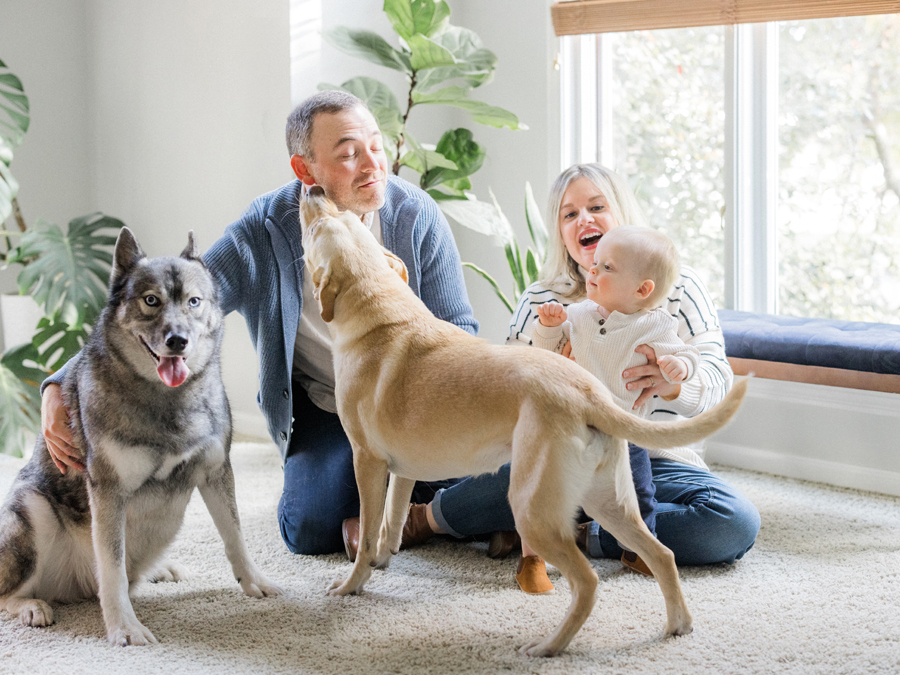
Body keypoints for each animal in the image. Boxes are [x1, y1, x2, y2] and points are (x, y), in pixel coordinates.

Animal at [0, 230, 280, 648]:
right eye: (151, 300)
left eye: (194, 301)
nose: (178, 341)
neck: (166, 399)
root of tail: (73, 587)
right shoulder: (109, 493)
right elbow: (112, 570)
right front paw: (124, 627)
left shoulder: (216, 472)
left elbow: (235, 536)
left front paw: (254, 581)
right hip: (34, 512)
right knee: (10, 593)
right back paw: (32, 606)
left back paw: (160, 569)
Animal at [298, 187, 748, 656]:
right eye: (346, 216)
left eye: (317, 229)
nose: (314, 190)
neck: (380, 313)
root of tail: (588, 393)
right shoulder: (403, 471)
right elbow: (391, 523)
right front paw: (384, 561)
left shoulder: (367, 462)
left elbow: (369, 533)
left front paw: (352, 584)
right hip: (610, 502)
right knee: (662, 555)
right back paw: (677, 624)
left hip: (531, 506)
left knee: (587, 581)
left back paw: (549, 646)